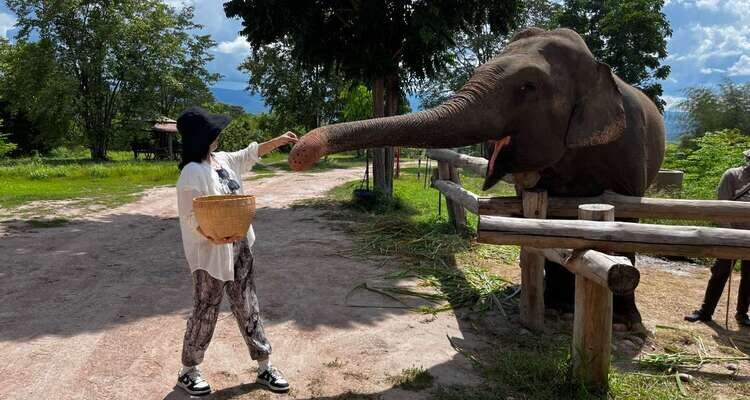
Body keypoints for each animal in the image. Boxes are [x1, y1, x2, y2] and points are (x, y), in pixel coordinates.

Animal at [288, 27, 666, 327]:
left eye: (528, 86)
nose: (297, 152)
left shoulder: (628, 150)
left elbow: (627, 221)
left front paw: (625, 325)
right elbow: (551, 226)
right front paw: (558, 310)